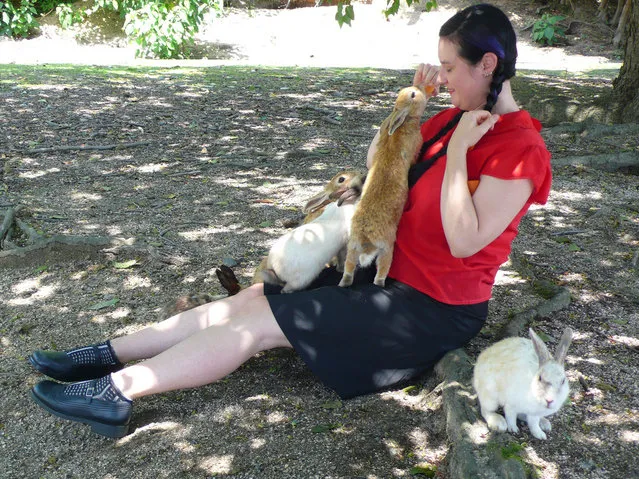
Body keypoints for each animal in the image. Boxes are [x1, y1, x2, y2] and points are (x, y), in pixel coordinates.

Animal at [338, 85, 428, 288]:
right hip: (387, 248)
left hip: (352, 247)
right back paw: (379, 283)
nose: (419, 88)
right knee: (382, 269)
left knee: (349, 267)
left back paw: (344, 282)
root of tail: (366, 237)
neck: (403, 123)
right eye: (413, 94)